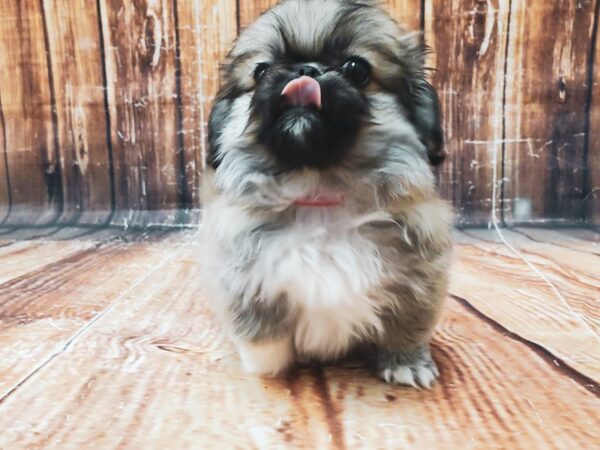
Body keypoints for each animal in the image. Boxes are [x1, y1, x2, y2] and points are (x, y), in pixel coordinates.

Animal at [199, 0, 452, 386]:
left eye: (356, 69)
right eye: (261, 71)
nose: (305, 70)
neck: (319, 194)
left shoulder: (420, 276)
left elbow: (407, 326)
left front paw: (405, 362)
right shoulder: (244, 281)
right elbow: (263, 337)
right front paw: (267, 367)